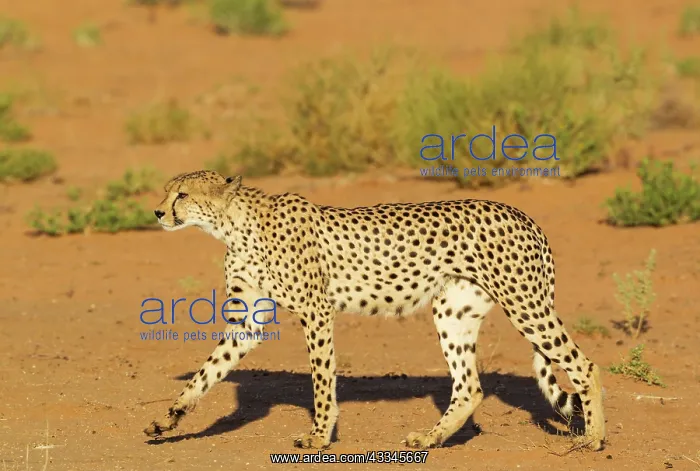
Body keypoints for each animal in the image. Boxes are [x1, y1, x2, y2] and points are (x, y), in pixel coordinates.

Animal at [144, 170, 606, 451]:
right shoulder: (247, 321)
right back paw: (430, 439)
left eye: (182, 194)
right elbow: (208, 372)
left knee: (584, 365)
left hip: (525, 303)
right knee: (470, 387)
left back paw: (594, 439)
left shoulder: (316, 310)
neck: (234, 227)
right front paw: (170, 418)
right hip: (453, 311)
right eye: (168, 190)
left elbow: (322, 381)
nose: (158, 211)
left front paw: (319, 437)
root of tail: (522, 214)